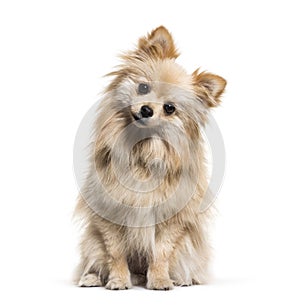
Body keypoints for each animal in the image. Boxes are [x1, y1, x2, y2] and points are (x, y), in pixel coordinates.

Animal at [74, 26, 226, 292]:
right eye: (143, 88)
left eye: (169, 108)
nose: (146, 109)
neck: (142, 150)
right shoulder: (108, 213)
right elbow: (115, 253)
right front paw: (118, 280)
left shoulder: (172, 219)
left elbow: (161, 253)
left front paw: (160, 280)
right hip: (91, 241)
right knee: (96, 260)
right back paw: (93, 278)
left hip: (188, 246)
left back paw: (181, 279)